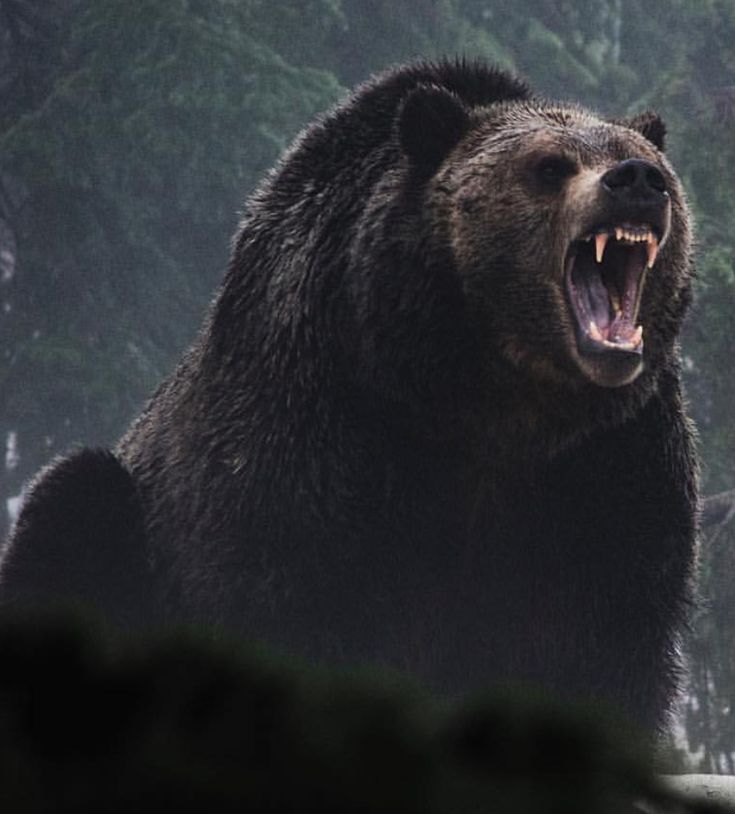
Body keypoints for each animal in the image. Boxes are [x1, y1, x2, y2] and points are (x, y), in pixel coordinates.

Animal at [0, 62, 700, 732]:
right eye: (550, 165)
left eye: (644, 158)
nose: (637, 179)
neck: (489, 395)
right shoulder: (315, 430)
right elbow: (290, 606)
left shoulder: (609, 466)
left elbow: (601, 644)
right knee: (73, 501)